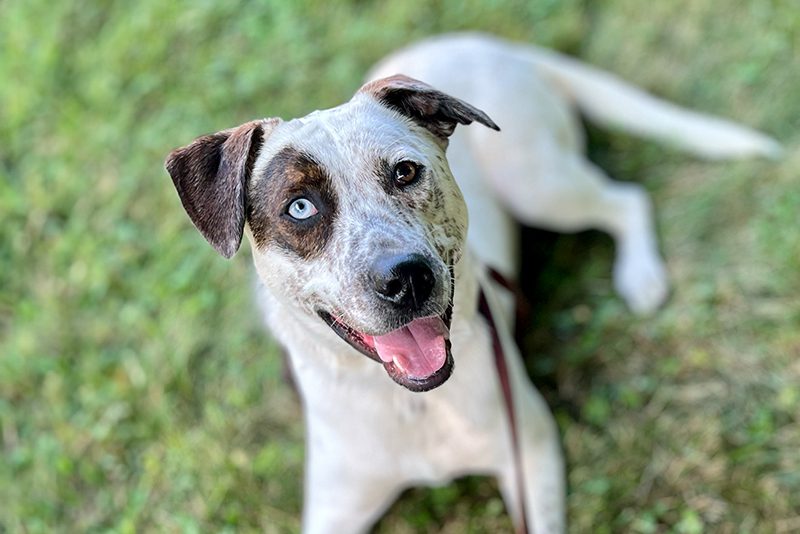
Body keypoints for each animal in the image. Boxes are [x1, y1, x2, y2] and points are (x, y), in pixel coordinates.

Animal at [164, 34, 780, 534]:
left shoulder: (531, 449)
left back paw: (641, 275)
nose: (406, 278)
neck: (415, 405)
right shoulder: (334, 506)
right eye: (299, 206)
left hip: (539, 184)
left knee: (625, 200)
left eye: (405, 172)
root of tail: (493, 43)